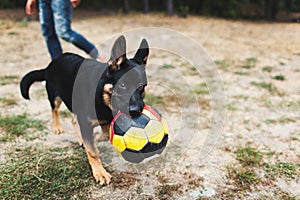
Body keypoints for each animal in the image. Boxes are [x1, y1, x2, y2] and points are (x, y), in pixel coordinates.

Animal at [19, 36, 149, 184]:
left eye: (142, 86)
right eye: (122, 85)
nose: (136, 111)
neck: (102, 95)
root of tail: (51, 64)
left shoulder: (105, 121)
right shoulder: (87, 125)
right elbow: (93, 151)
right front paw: (99, 172)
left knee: (73, 119)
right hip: (55, 98)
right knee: (54, 111)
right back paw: (57, 126)